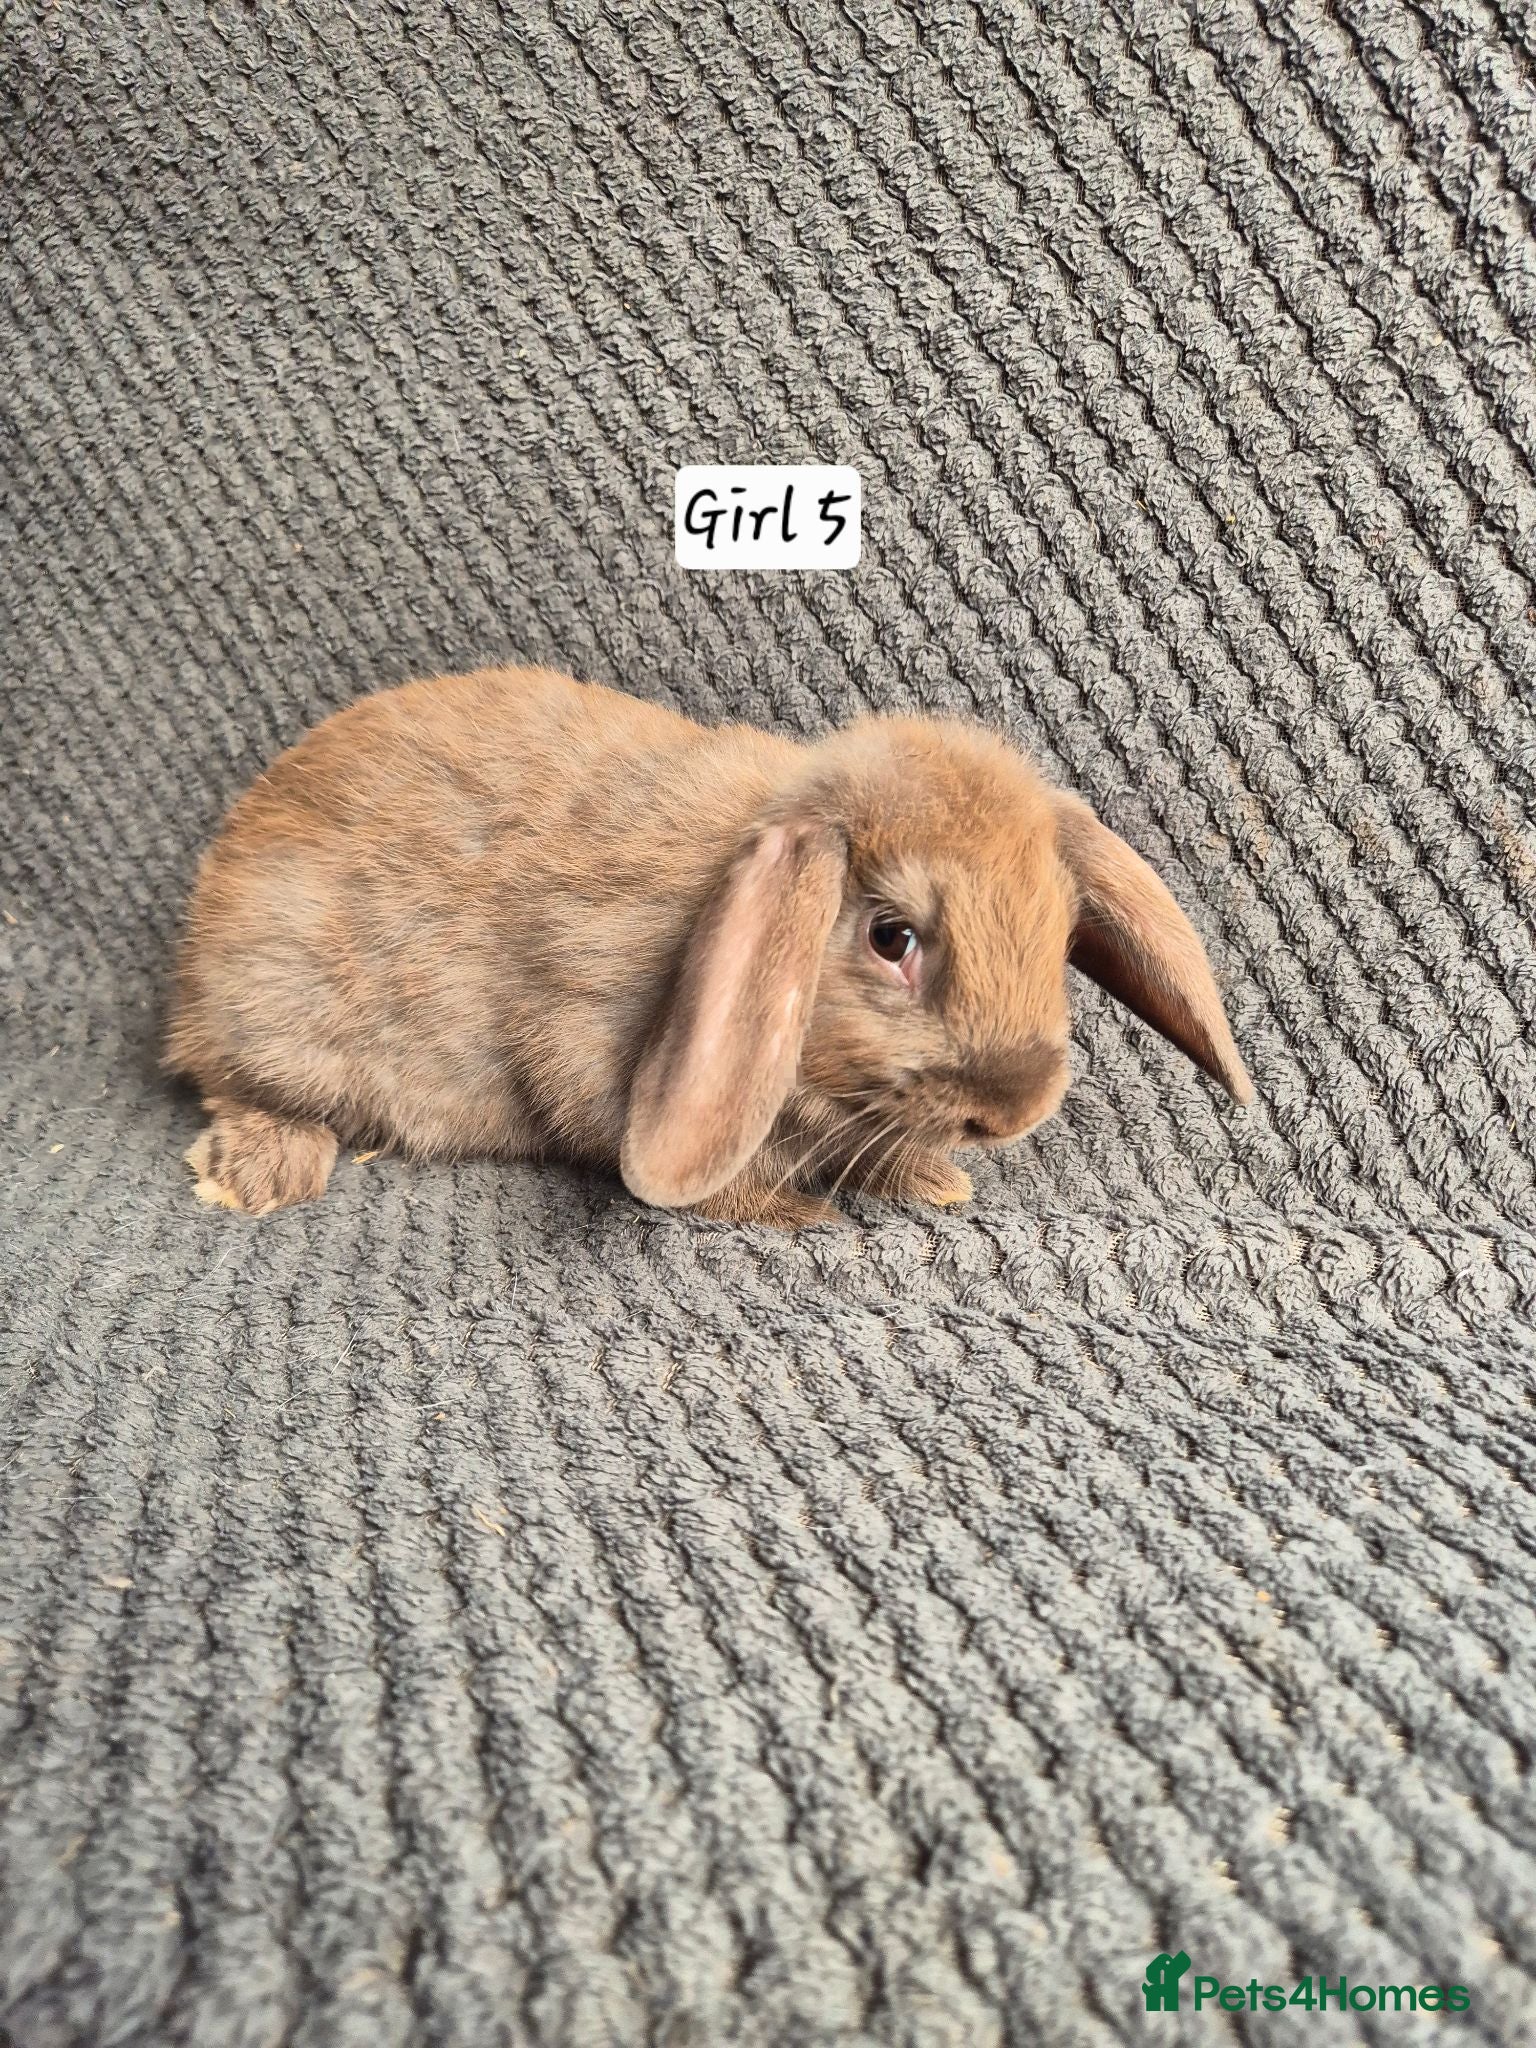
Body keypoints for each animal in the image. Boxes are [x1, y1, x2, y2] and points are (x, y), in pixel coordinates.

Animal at [166, 663, 1251, 1228]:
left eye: (1060, 933)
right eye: (892, 937)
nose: (1016, 1108)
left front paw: (935, 1182)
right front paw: (805, 1213)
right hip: (281, 1007)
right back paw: (259, 1174)